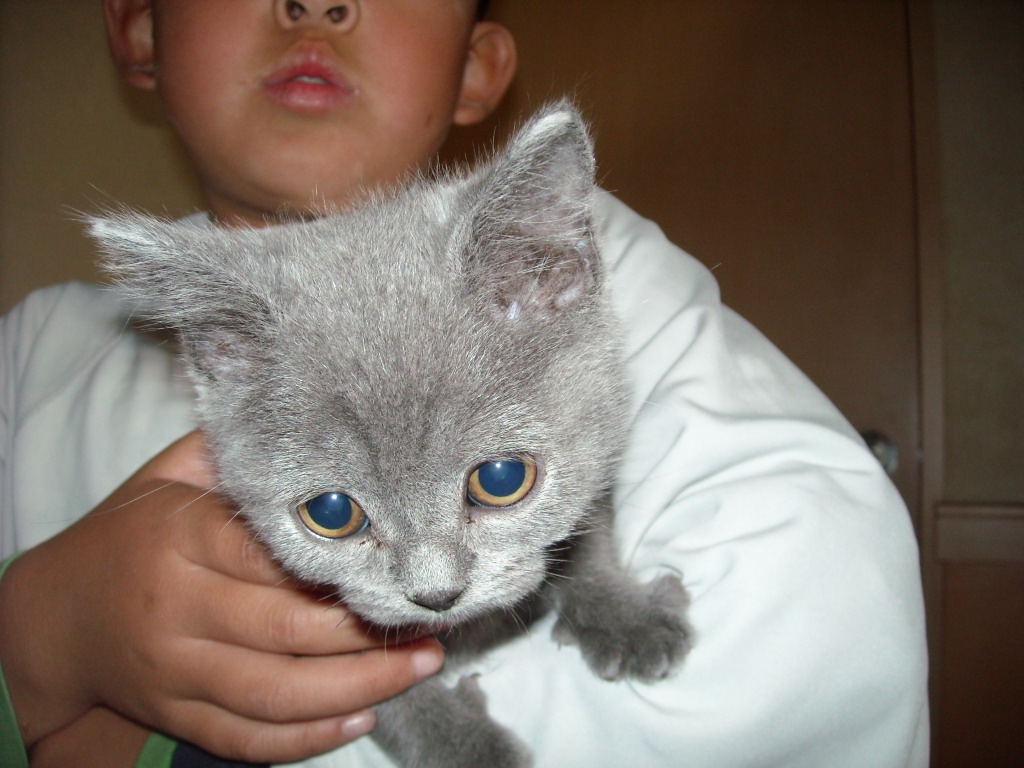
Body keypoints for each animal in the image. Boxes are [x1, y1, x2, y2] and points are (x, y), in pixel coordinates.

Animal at [92, 103, 692, 768]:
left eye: (502, 479)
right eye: (331, 513)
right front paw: (472, 750)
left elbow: (587, 523)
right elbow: (386, 697)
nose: (436, 595)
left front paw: (623, 613)